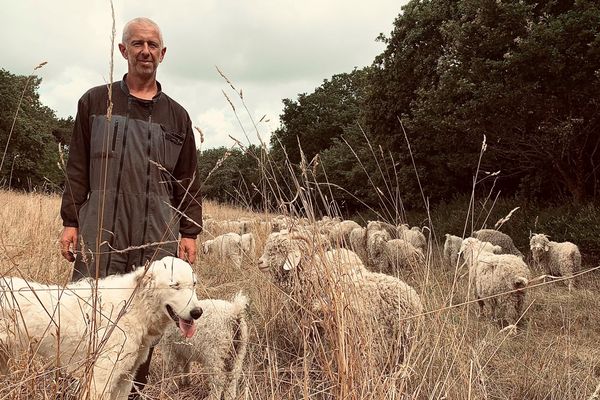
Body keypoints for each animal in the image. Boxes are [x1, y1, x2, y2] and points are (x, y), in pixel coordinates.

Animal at [0, 256, 204, 400]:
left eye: (194, 284)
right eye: (175, 286)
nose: (197, 312)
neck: (134, 306)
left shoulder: (125, 378)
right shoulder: (100, 379)